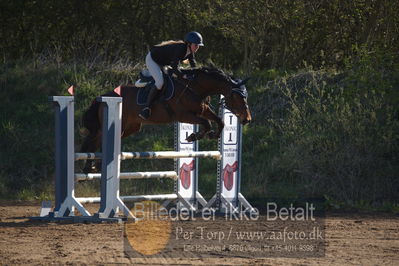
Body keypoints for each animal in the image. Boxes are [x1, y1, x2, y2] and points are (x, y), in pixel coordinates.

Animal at [79, 66, 252, 172]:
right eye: (237, 96)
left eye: (246, 96)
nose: (247, 119)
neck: (194, 88)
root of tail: (104, 96)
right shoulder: (183, 115)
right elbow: (206, 123)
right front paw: (193, 136)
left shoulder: (203, 110)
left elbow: (219, 121)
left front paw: (213, 135)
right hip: (117, 126)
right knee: (96, 140)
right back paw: (90, 165)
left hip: (129, 128)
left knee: (96, 138)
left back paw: (94, 165)